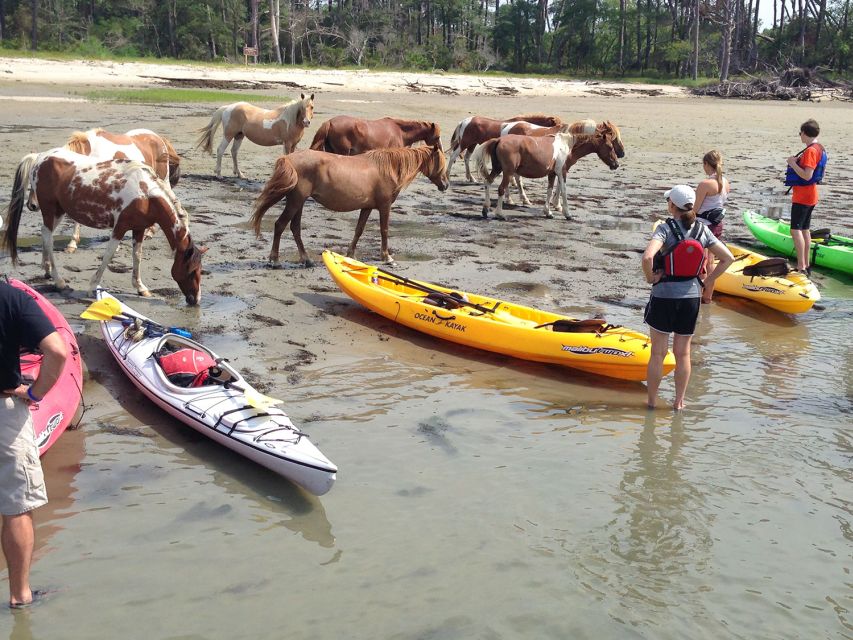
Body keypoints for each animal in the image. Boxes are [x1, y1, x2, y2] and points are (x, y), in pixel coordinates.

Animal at [2, 148, 206, 304]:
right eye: (191, 271)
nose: (195, 300)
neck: (146, 195)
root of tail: (40, 156)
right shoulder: (120, 228)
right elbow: (108, 255)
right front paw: (92, 286)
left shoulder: (139, 229)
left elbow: (137, 256)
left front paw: (140, 287)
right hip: (51, 210)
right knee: (48, 237)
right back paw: (58, 280)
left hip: (58, 212)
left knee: (45, 234)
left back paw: (47, 269)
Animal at [250, 145, 448, 266]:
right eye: (441, 163)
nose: (445, 185)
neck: (388, 169)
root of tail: (289, 158)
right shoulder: (384, 206)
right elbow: (384, 230)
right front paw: (387, 257)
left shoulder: (367, 207)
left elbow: (359, 230)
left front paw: (350, 255)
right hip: (296, 201)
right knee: (280, 225)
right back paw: (275, 259)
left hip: (298, 202)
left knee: (295, 228)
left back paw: (306, 259)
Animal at [471, 120, 624, 220]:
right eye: (610, 146)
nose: (616, 164)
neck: (567, 145)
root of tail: (499, 140)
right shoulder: (562, 172)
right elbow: (563, 191)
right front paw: (567, 213)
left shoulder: (552, 174)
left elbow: (550, 191)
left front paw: (548, 212)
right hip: (507, 172)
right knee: (501, 188)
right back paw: (500, 213)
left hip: (498, 169)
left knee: (488, 182)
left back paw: (486, 209)